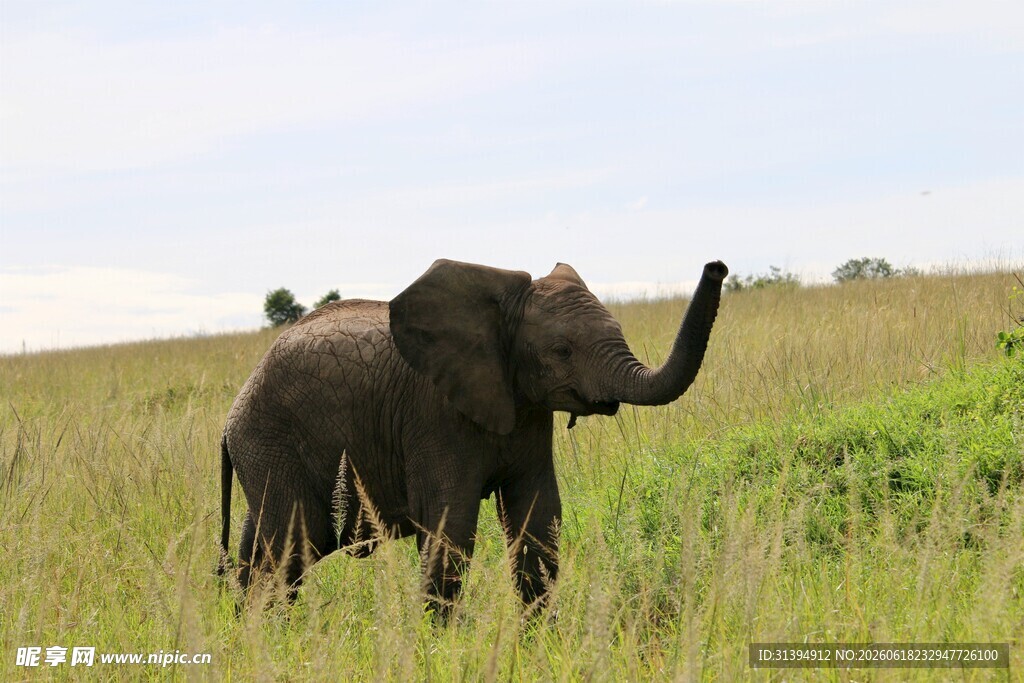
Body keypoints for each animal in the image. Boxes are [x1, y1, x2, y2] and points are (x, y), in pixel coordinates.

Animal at [219, 258, 728, 615]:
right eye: (561, 351)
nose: (717, 266)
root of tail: (230, 419)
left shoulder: (527, 409)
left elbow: (538, 521)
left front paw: (538, 644)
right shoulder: (434, 415)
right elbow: (452, 528)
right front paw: (439, 648)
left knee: (259, 548)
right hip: (270, 440)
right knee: (288, 550)